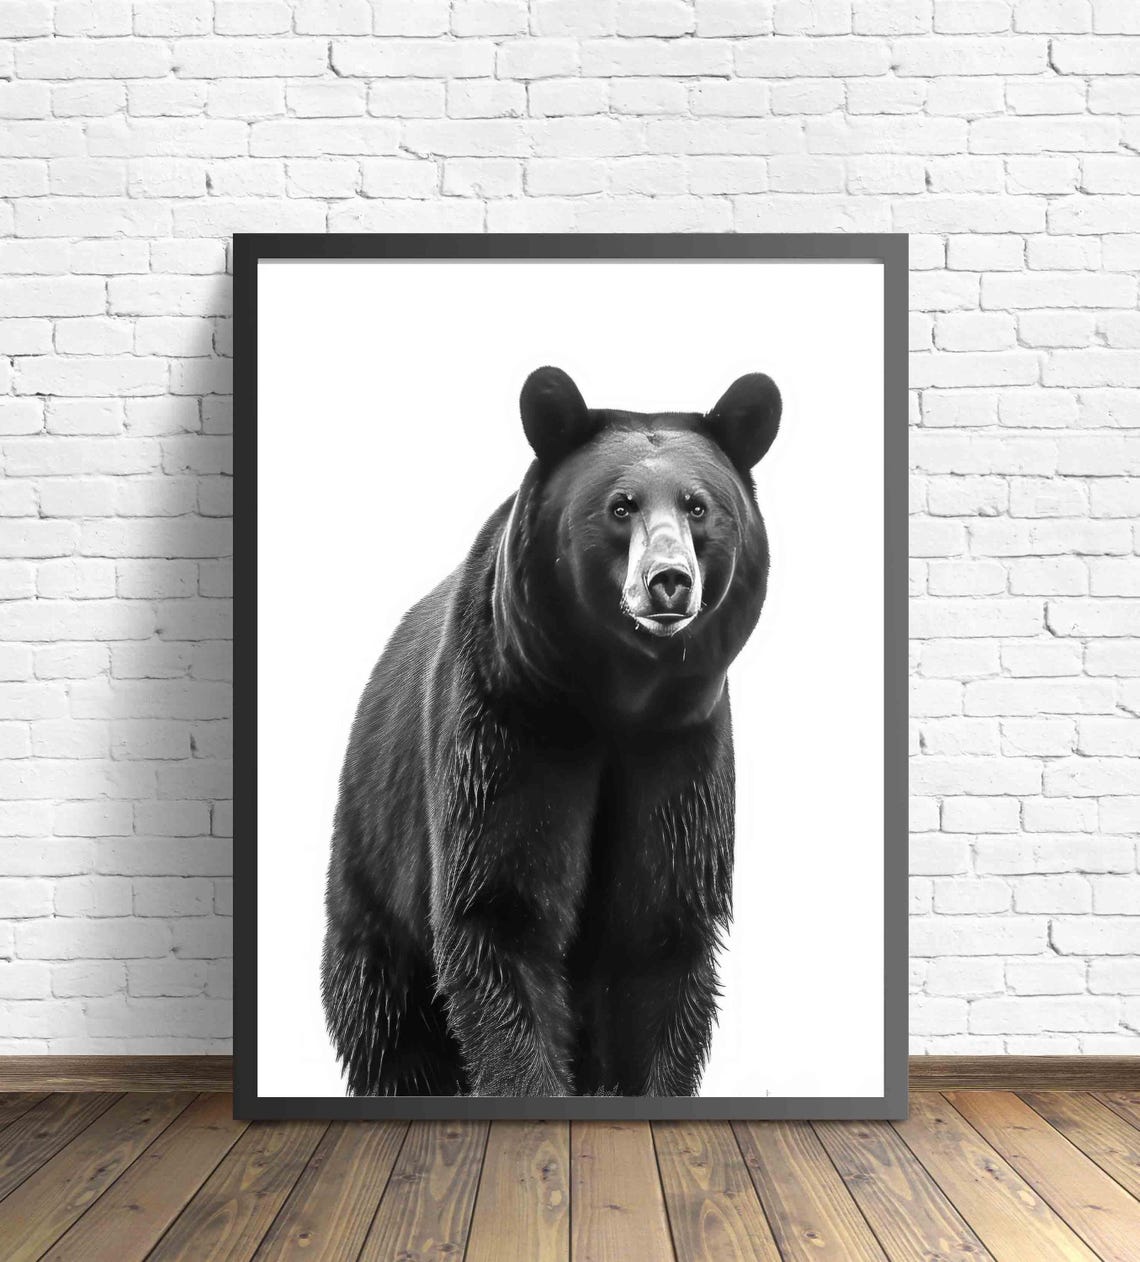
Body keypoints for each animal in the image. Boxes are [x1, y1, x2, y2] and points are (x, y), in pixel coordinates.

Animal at [321, 366, 780, 1097]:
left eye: (698, 506)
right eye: (620, 506)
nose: (668, 581)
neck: (616, 699)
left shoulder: (681, 749)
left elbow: (659, 930)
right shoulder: (510, 726)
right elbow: (500, 908)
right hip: (374, 863)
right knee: (387, 1016)